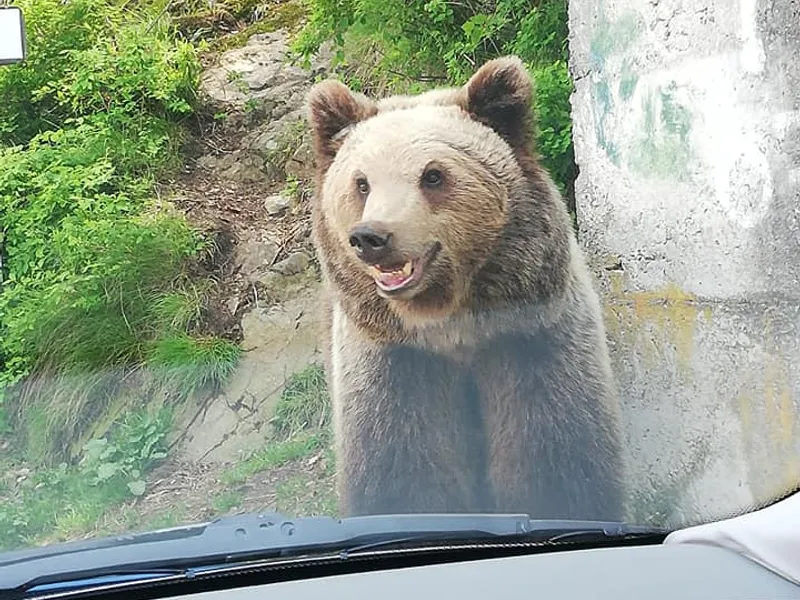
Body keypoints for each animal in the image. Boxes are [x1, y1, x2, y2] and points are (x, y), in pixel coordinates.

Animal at [306, 57, 624, 524]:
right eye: (361, 183)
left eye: (433, 175)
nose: (372, 237)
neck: (451, 322)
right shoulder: (394, 356)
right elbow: (400, 463)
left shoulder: (528, 332)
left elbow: (553, 448)